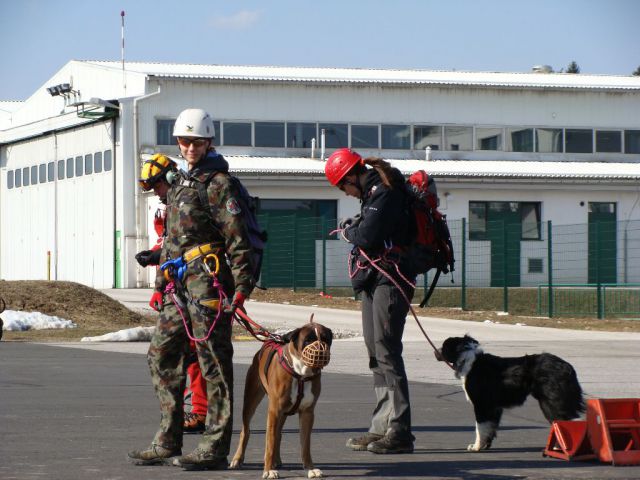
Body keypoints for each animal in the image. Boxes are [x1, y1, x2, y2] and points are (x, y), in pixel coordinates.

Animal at [230, 320, 332, 478]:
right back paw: (238, 459)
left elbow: (305, 444)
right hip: (251, 402)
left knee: (278, 434)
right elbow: (270, 442)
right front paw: (268, 470)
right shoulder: (274, 411)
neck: (301, 374)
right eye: (308, 340)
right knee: (246, 431)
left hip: (283, 413)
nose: (321, 350)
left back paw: (276, 460)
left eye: (326, 339)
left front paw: (310, 468)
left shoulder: (307, 414)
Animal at [438, 336, 584, 452]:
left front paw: (476, 447)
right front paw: (485, 446)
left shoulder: (481, 405)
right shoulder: (494, 407)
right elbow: (490, 428)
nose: (435, 351)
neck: (466, 359)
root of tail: (567, 366)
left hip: (551, 403)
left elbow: (480, 428)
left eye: (443, 346)